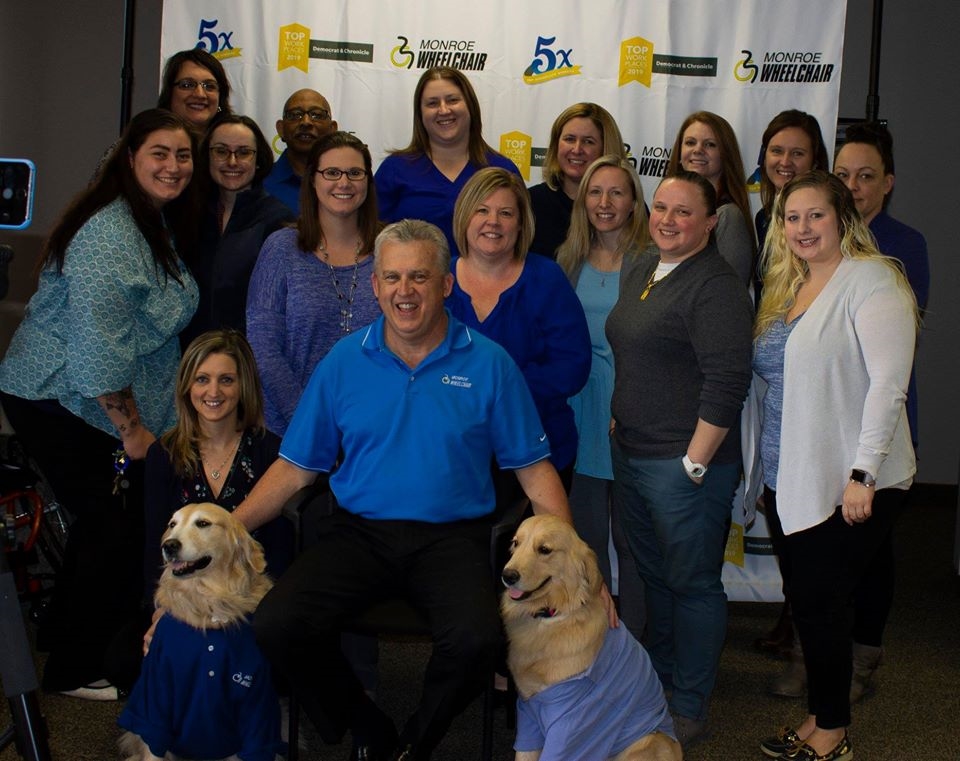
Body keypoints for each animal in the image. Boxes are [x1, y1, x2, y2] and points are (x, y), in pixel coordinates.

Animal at [118, 504, 284, 760]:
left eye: (203, 523)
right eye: (172, 524)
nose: (169, 545)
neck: (208, 605)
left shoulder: (257, 702)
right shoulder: (155, 699)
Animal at [502, 512, 684, 760]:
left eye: (544, 549)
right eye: (515, 543)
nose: (507, 575)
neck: (552, 615)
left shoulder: (572, 719)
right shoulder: (528, 709)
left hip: (645, 742)